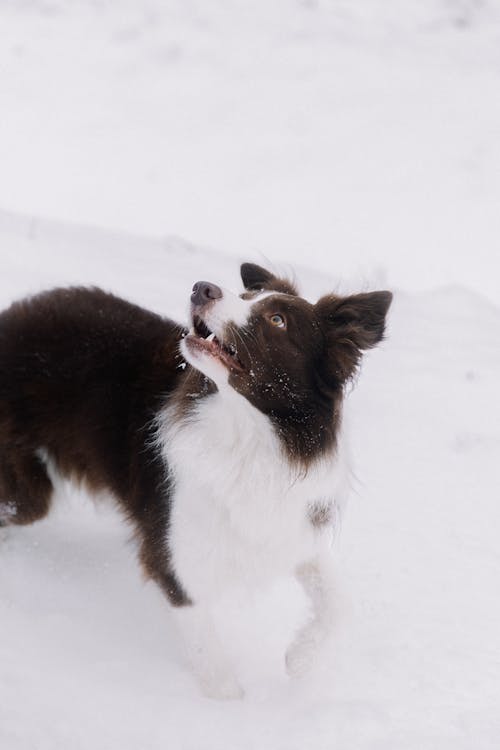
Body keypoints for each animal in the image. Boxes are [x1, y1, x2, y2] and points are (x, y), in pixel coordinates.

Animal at [0, 262, 390, 700]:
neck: (249, 434)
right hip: (28, 492)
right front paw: (225, 704)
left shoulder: (287, 525)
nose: (201, 288)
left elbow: (340, 601)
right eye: (246, 296)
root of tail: (12, 317)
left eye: (277, 320)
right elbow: (208, 649)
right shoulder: (172, 555)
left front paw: (301, 658)